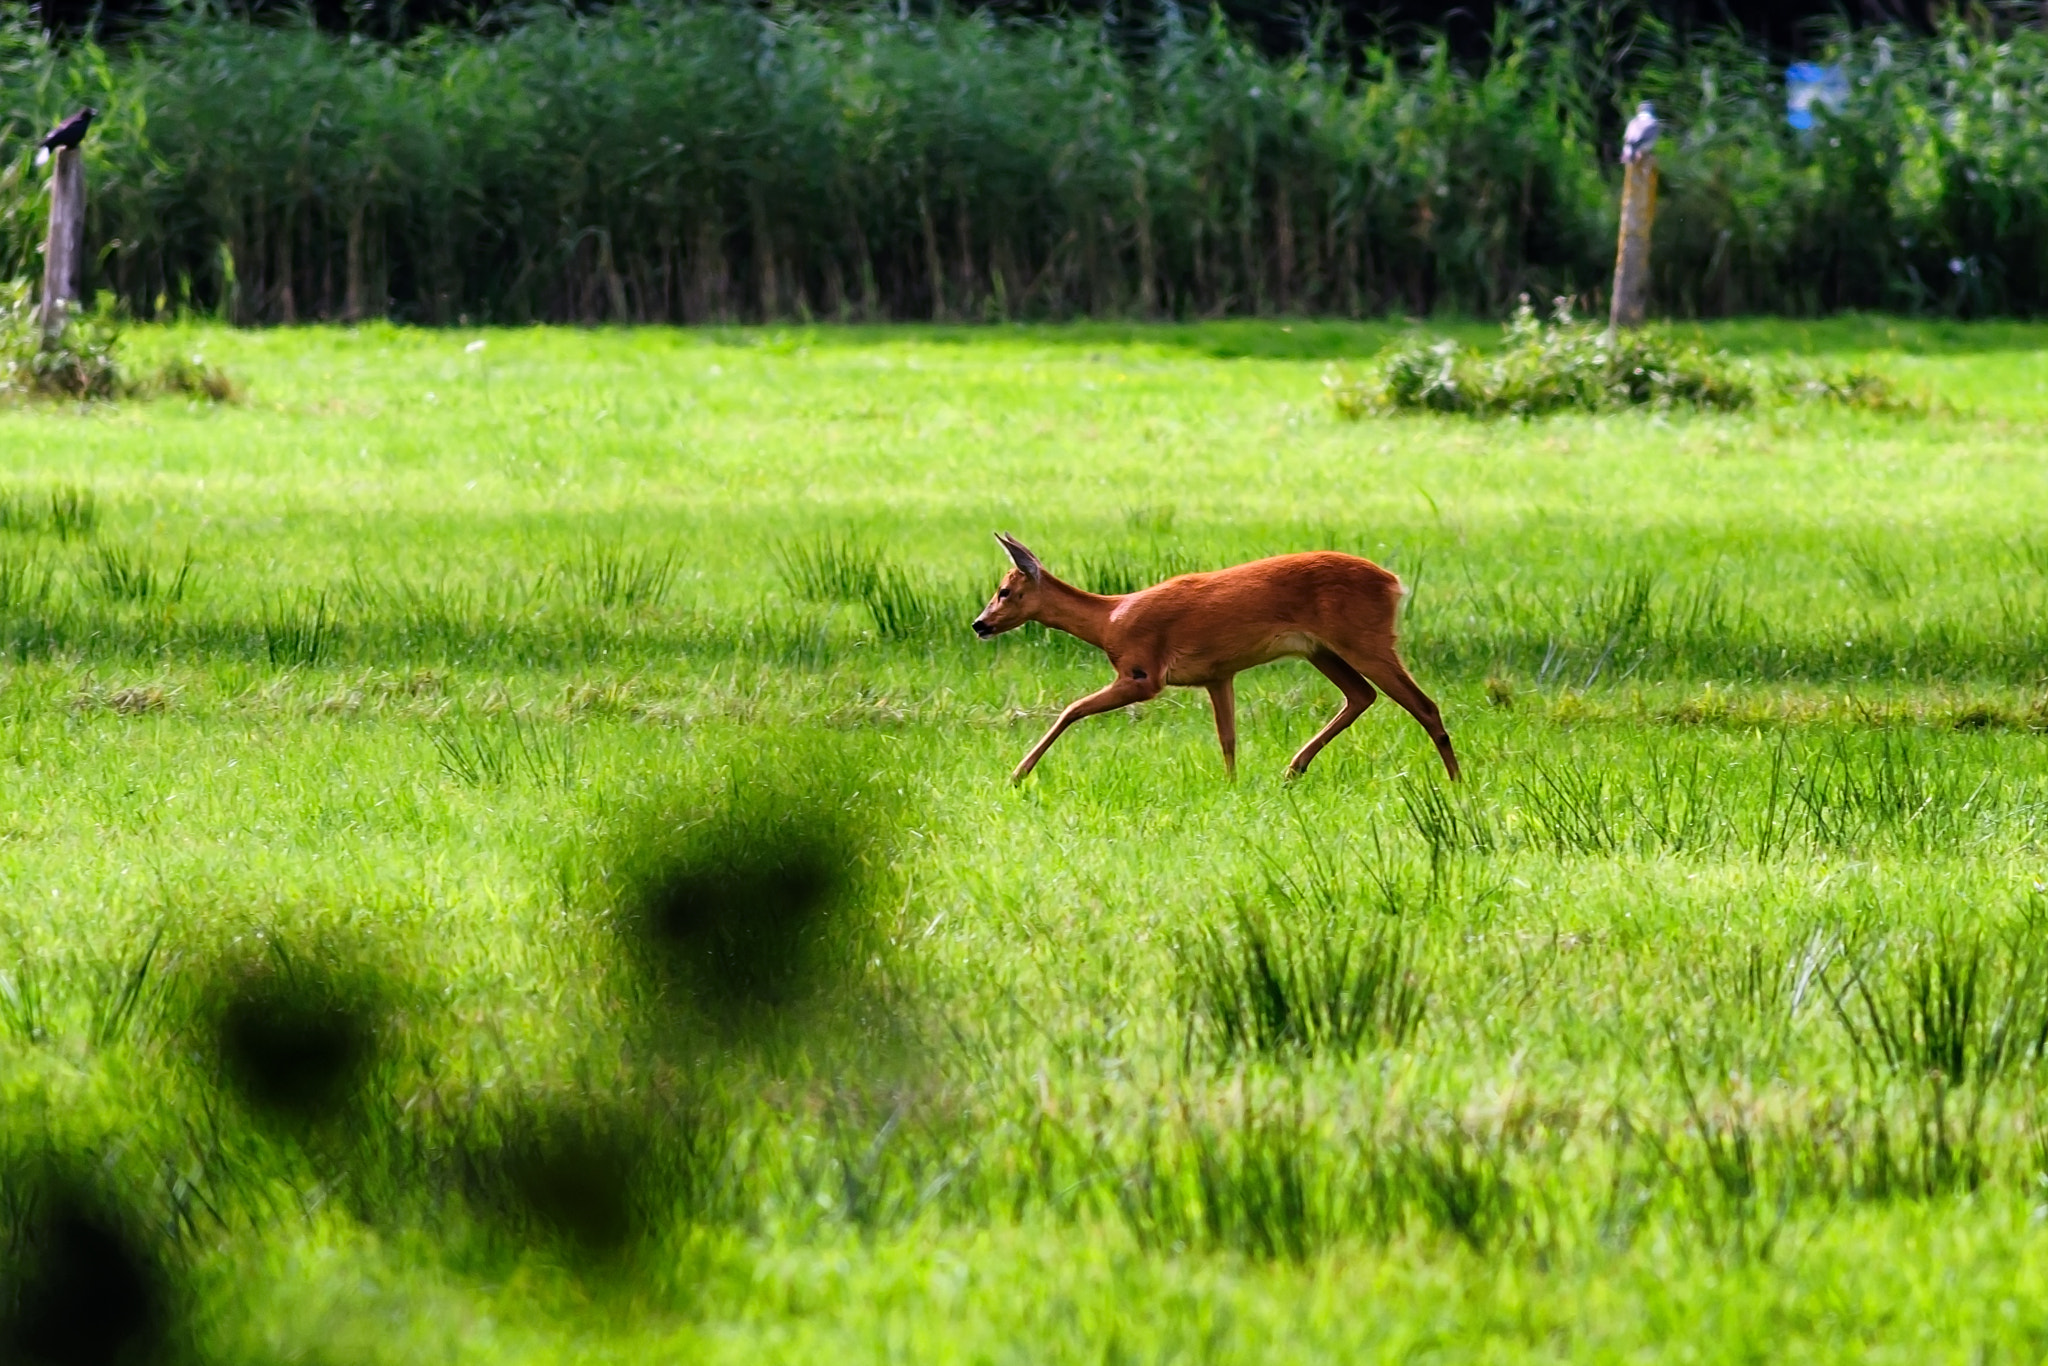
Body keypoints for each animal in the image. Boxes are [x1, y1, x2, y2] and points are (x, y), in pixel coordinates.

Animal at [970, 536, 1458, 790]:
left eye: (1004, 591)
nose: (979, 624)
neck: (1109, 620)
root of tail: (1394, 583)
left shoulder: (1143, 673)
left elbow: (1070, 710)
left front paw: (1017, 774)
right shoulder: (1218, 675)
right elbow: (1228, 738)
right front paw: (1232, 786)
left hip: (1364, 639)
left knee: (1424, 704)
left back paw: (1456, 782)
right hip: (1321, 650)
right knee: (1361, 695)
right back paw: (1292, 769)